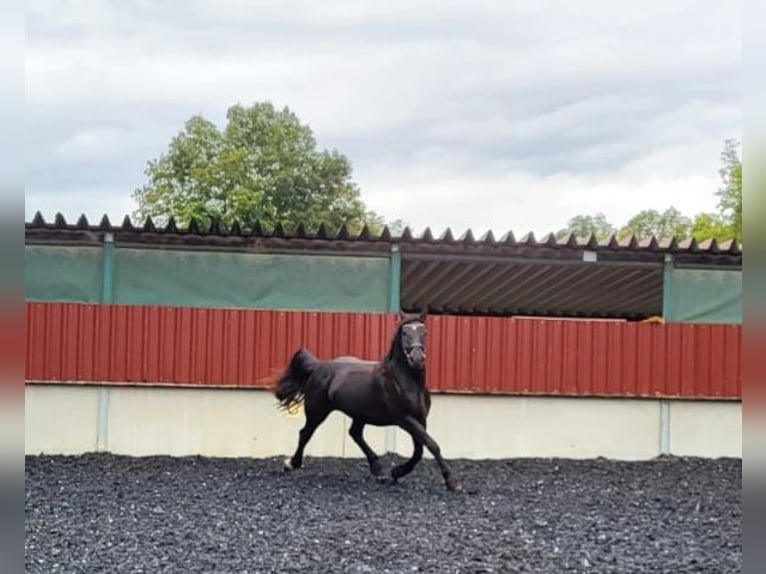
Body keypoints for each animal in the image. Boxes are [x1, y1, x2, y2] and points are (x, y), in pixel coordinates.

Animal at [274, 312, 462, 492]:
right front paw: (452, 483)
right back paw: (291, 464)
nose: (416, 359)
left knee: (354, 433)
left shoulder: (421, 419)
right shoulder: (404, 419)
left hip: (359, 413)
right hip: (317, 411)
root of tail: (318, 366)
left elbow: (420, 449)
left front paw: (397, 472)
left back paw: (378, 469)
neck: (408, 382)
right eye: (404, 333)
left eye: (425, 333)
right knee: (305, 433)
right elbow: (432, 445)